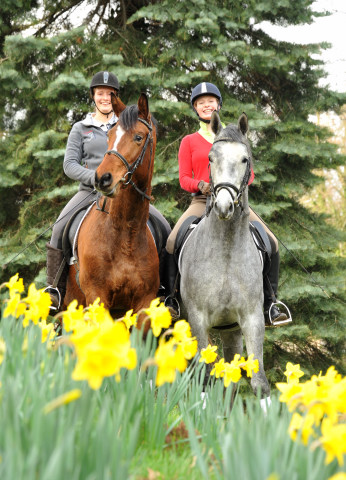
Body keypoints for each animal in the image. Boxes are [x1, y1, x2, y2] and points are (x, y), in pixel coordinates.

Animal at [63, 94, 159, 330]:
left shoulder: (143, 303)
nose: (102, 178)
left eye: (138, 137)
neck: (125, 233)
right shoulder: (97, 298)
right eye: (110, 136)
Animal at [180, 111, 272, 402]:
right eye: (210, 158)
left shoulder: (252, 318)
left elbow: (258, 381)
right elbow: (204, 377)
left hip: (231, 331)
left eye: (245, 159)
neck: (226, 253)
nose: (223, 206)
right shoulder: (198, 319)